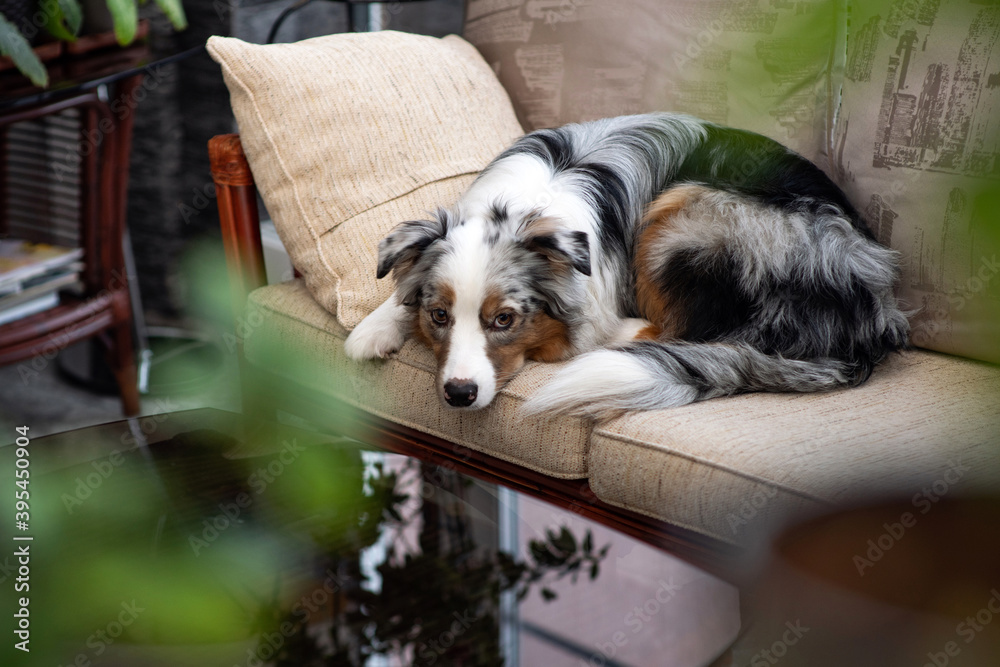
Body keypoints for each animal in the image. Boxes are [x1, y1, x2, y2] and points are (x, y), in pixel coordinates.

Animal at [342, 113, 908, 420]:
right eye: (438, 316)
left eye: (504, 319)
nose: (459, 395)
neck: (525, 208)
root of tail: (872, 316)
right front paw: (374, 329)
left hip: (684, 212)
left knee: (684, 329)